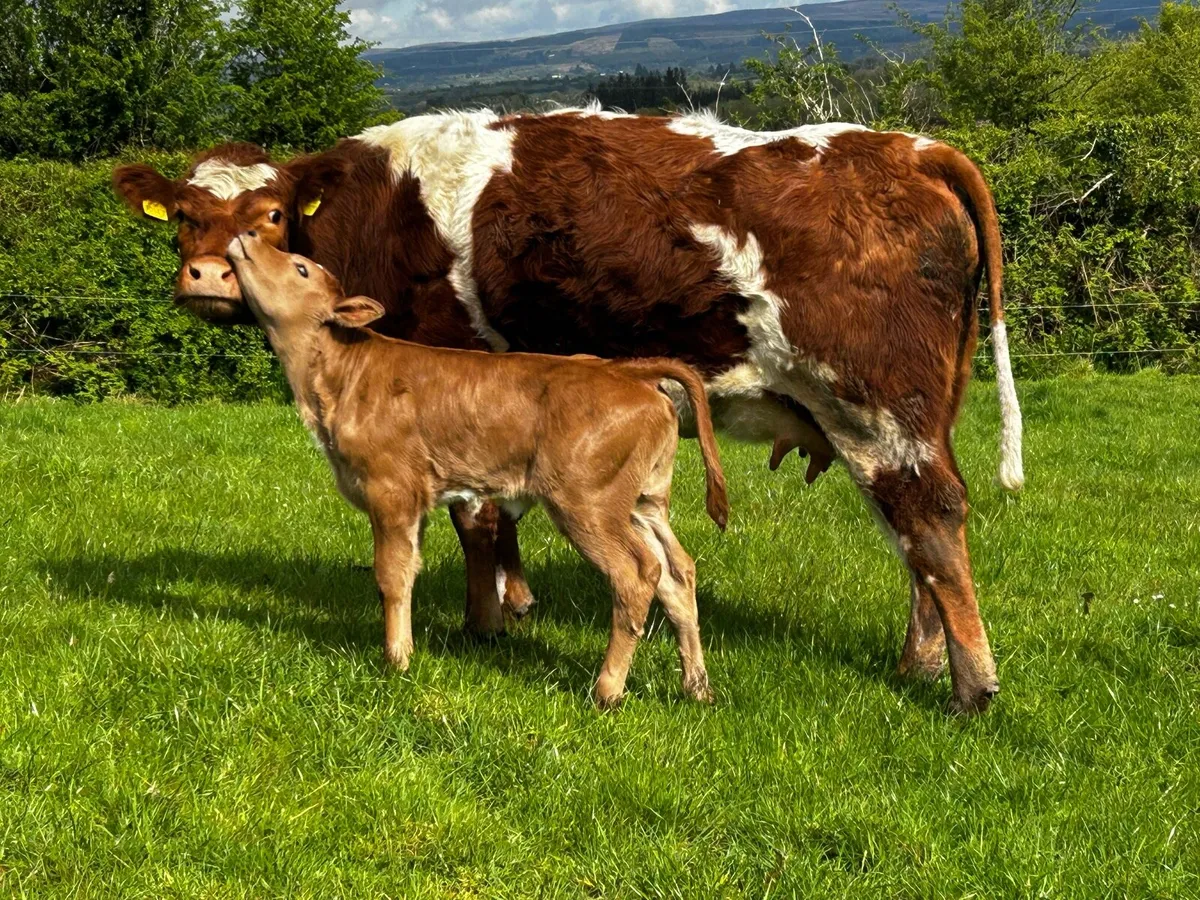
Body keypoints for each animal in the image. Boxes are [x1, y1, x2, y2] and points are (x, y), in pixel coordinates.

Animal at [226, 230, 728, 706]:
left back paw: (607, 690)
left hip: (588, 502)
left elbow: (390, 575)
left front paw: (396, 660)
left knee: (637, 574)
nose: (246, 236)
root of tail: (625, 371)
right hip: (644, 501)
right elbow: (409, 568)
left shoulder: (390, 488)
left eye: (301, 267)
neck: (337, 380)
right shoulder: (416, 497)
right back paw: (696, 686)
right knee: (677, 573)